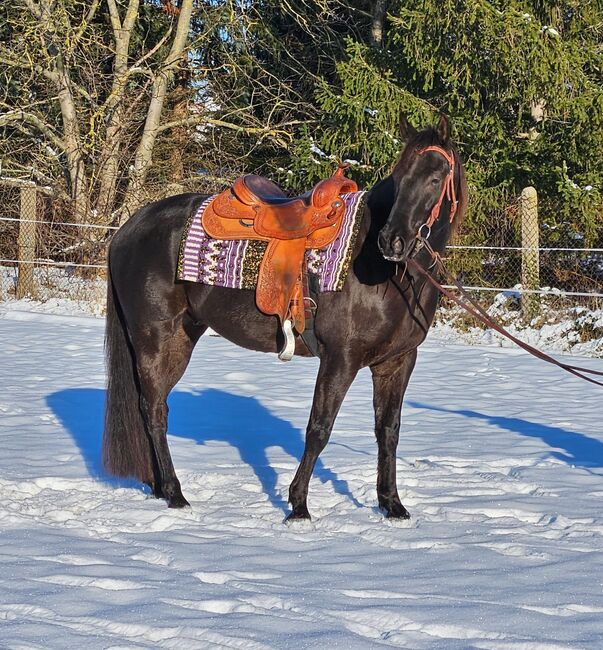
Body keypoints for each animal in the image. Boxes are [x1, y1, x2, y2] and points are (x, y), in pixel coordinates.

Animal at [104, 114, 470, 520]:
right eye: (400, 176)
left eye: (435, 178)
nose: (392, 241)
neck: (386, 274)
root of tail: (128, 228)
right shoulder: (340, 359)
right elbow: (319, 429)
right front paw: (299, 506)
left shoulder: (397, 362)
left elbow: (388, 431)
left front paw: (392, 504)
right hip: (154, 338)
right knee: (154, 411)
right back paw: (174, 493)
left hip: (181, 339)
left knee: (152, 409)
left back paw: (158, 488)